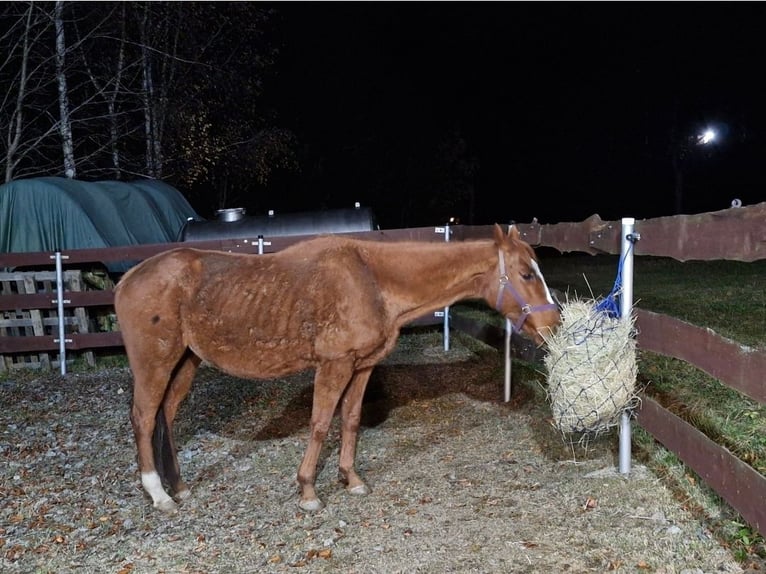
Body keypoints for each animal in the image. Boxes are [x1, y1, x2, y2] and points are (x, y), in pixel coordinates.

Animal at [113, 223, 560, 513]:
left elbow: (350, 420)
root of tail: (128, 278)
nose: (553, 324)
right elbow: (320, 423)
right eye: (526, 273)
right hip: (155, 364)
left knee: (166, 416)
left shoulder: (361, 367)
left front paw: (351, 479)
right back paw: (158, 494)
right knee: (143, 418)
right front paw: (308, 491)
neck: (372, 278)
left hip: (185, 362)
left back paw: (179, 487)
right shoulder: (334, 365)